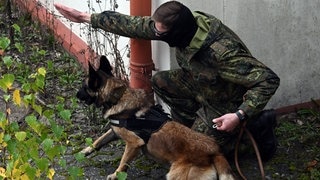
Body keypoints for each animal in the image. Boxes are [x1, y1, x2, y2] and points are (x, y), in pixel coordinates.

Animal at [75, 55, 235, 179]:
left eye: (84, 87)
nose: (76, 95)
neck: (118, 97)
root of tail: (214, 151)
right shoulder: (115, 130)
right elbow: (99, 140)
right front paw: (86, 150)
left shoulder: (133, 143)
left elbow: (123, 162)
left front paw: (116, 175)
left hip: (175, 175)